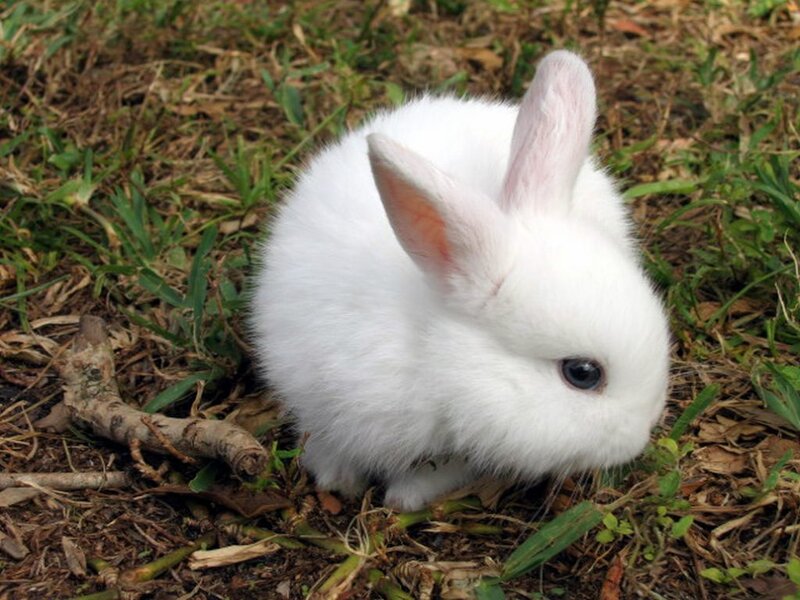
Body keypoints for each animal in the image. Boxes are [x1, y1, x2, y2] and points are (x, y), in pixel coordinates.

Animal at [250, 50, 670, 511]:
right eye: (582, 373)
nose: (642, 434)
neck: (431, 354)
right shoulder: (313, 394)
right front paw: (337, 480)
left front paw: (404, 499)